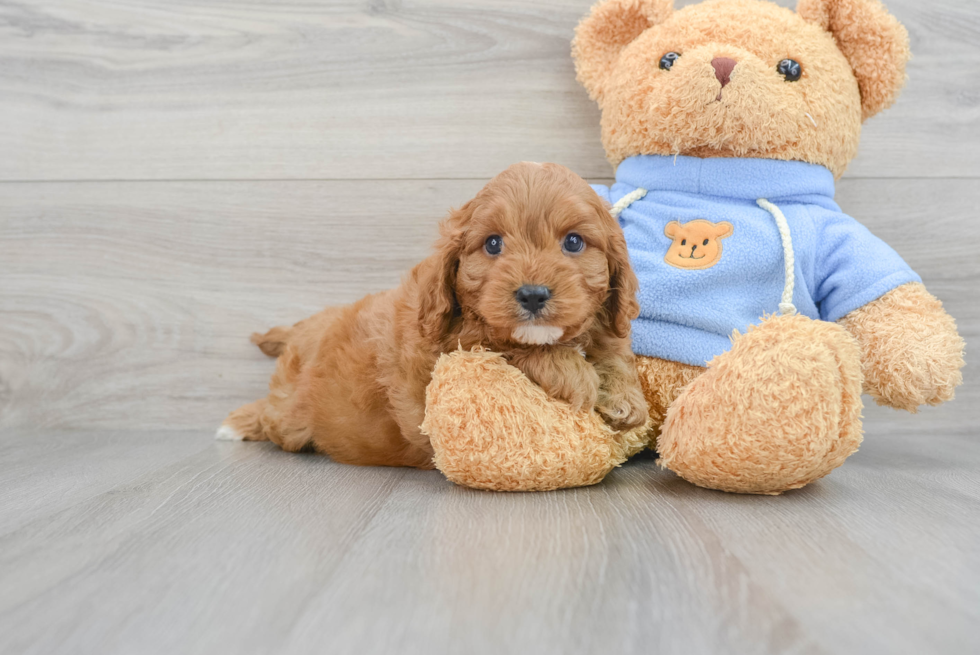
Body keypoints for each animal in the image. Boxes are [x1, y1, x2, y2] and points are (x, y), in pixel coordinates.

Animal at [222, 161, 652, 468]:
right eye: (493, 244)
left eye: (574, 242)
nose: (532, 295)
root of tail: (303, 329)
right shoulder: (451, 349)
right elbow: (508, 345)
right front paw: (574, 372)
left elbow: (613, 348)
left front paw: (625, 396)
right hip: (290, 414)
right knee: (271, 416)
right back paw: (236, 423)